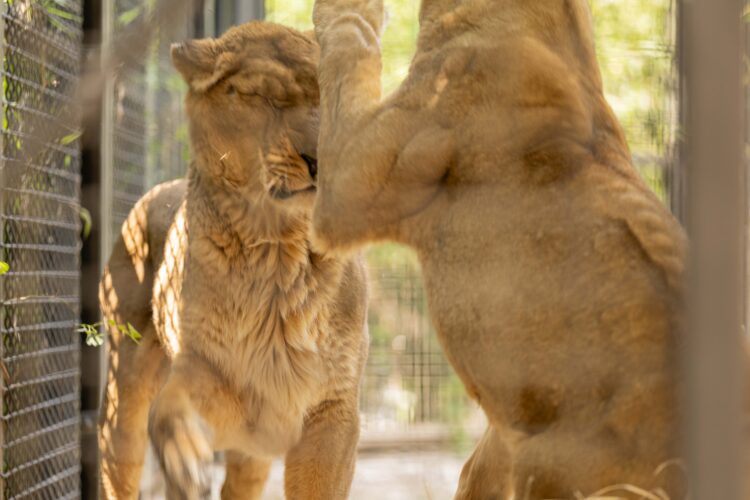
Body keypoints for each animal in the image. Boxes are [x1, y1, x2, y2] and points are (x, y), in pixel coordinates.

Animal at [98, 21, 368, 498]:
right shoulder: (215, 380)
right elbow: (170, 407)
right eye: (264, 98)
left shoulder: (333, 412)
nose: (322, 158)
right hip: (124, 394)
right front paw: (185, 457)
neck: (280, 251)